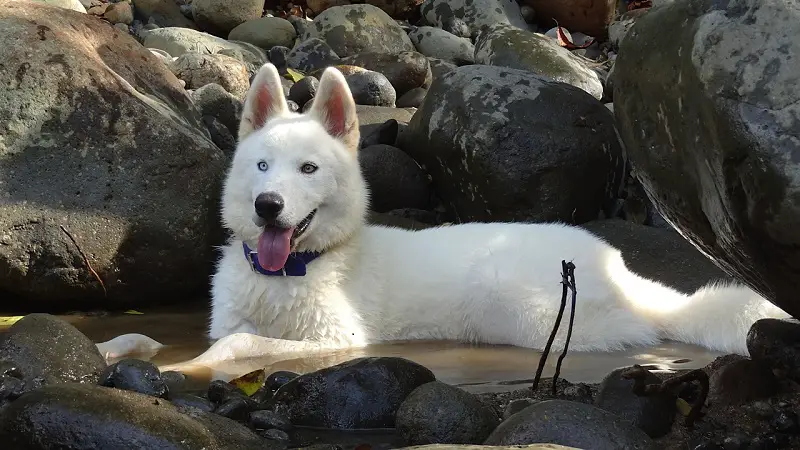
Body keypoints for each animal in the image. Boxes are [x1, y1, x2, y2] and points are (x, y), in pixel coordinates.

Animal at [98, 64, 788, 366]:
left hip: (522, 309)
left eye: (309, 170)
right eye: (263, 166)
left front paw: (193, 366)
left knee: (645, 330)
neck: (291, 272)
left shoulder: (341, 341)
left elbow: (237, 344)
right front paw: (114, 349)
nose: (269, 206)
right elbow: (158, 339)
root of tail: (618, 265)